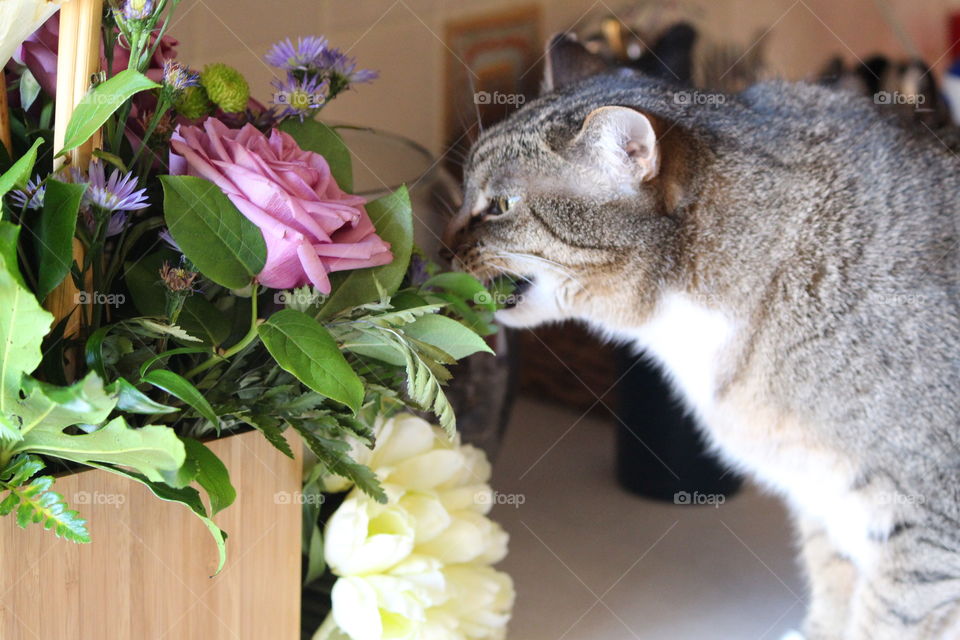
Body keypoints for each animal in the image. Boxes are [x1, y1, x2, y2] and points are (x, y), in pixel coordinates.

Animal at [446, 36, 960, 640]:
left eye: (499, 206)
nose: (443, 246)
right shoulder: (820, 499)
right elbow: (833, 584)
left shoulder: (926, 527)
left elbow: (885, 617)